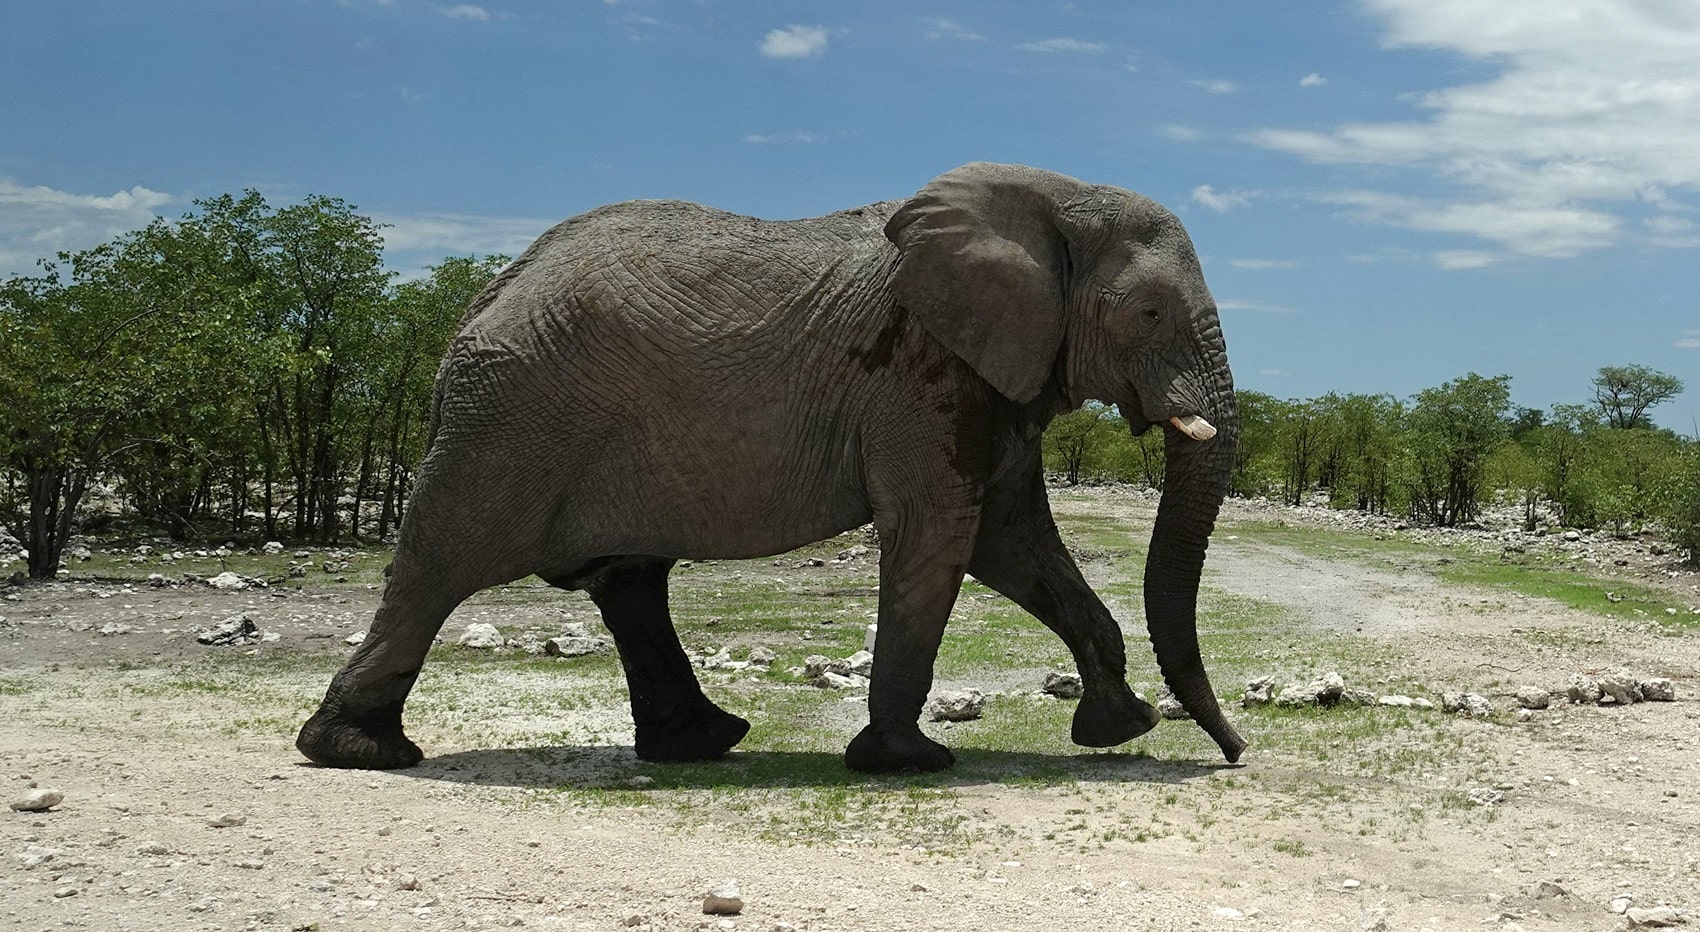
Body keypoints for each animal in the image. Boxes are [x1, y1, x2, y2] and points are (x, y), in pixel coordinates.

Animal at [296, 162, 1246, 774]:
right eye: (1150, 313)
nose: (1236, 754)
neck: (1049, 197)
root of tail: (478, 300)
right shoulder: (919, 370)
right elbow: (943, 532)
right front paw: (910, 763)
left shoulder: (991, 372)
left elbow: (1013, 541)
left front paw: (1119, 731)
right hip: (511, 421)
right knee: (441, 564)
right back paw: (358, 752)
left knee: (629, 584)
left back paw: (705, 743)